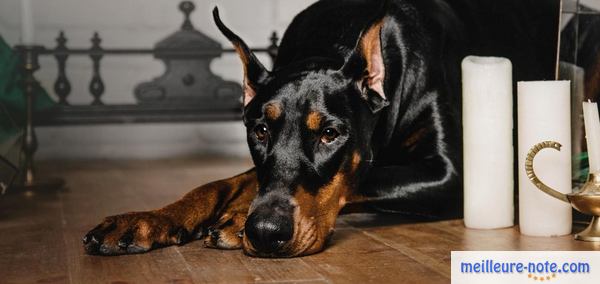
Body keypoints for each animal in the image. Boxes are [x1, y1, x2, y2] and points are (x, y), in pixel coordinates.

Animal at [83, 0, 556, 258]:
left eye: (330, 134)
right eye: (260, 131)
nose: (265, 232)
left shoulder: (451, 174)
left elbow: (361, 175)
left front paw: (235, 220)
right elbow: (223, 182)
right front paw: (146, 220)